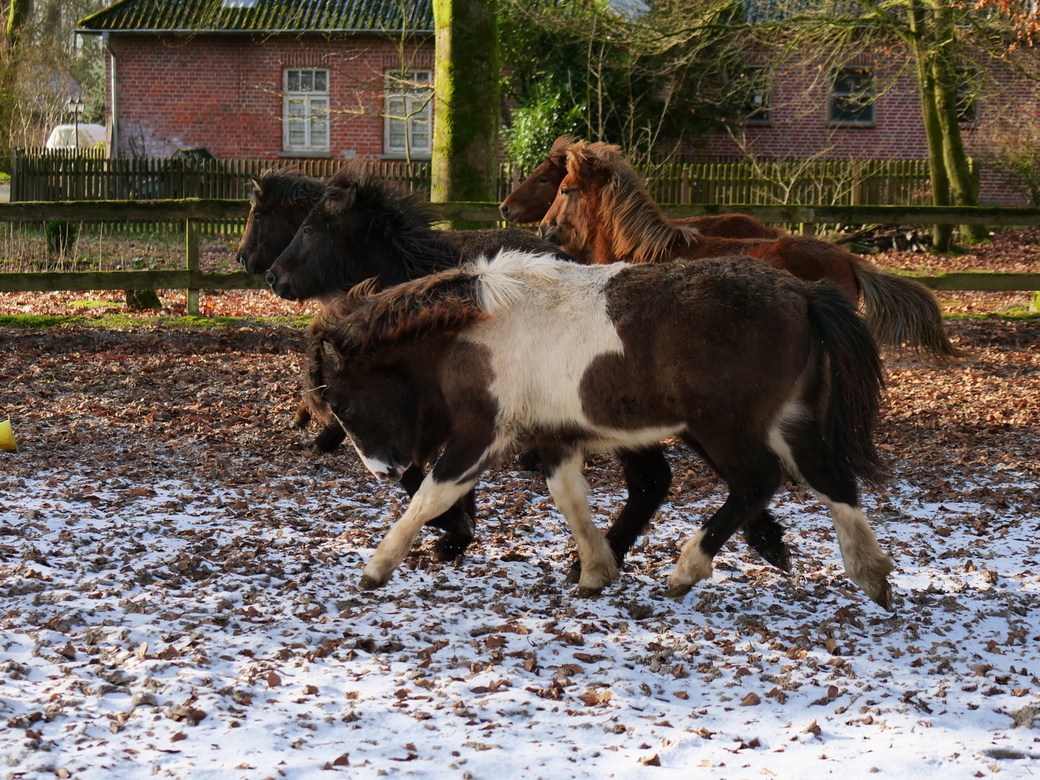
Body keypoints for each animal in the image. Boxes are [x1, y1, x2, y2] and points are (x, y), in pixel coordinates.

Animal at [303, 250, 894, 611]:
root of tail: (803, 293)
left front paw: (377, 568)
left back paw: (688, 569)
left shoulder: (483, 433)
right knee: (831, 479)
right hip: (786, 422)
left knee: (759, 483)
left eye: (343, 403)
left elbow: (432, 495)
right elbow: (570, 500)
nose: (385, 470)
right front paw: (594, 571)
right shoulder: (554, 437)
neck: (474, 332)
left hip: (725, 428)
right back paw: (871, 573)